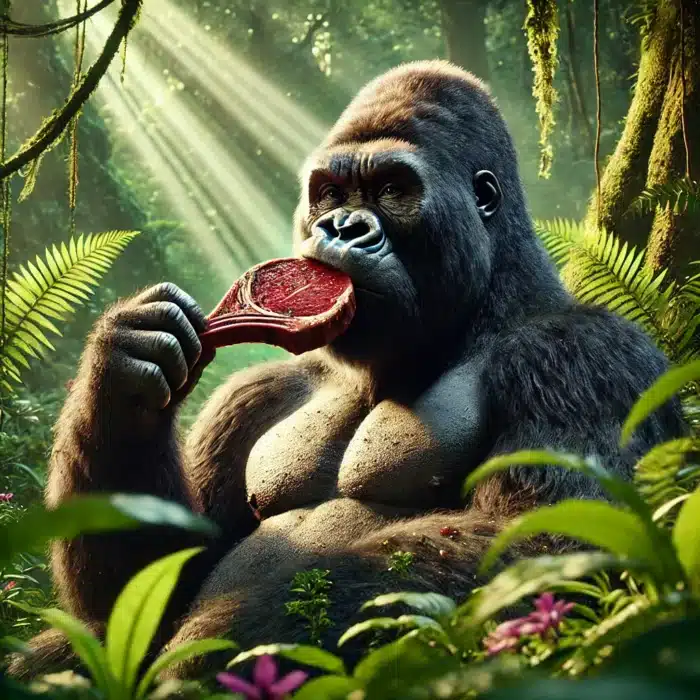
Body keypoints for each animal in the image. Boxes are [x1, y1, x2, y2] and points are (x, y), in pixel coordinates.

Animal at [7, 60, 685, 680]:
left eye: (390, 188)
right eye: (330, 195)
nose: (340, 228)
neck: (483, 311)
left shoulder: (584, 359)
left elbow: (551, 539)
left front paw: (233, 636)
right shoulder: (255, 392)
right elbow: (150, 582)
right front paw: (124, 374)